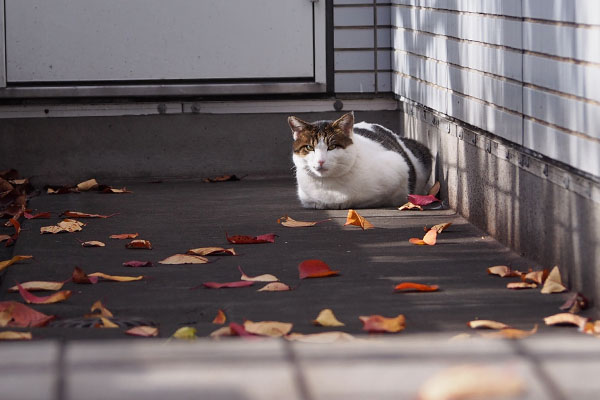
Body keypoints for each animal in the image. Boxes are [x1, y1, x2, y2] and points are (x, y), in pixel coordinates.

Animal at [286, 111, 432, 208]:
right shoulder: (308, 199)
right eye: (309, 147)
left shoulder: (399, 166)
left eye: (332, 147)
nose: (320, 161)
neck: (329, 186)